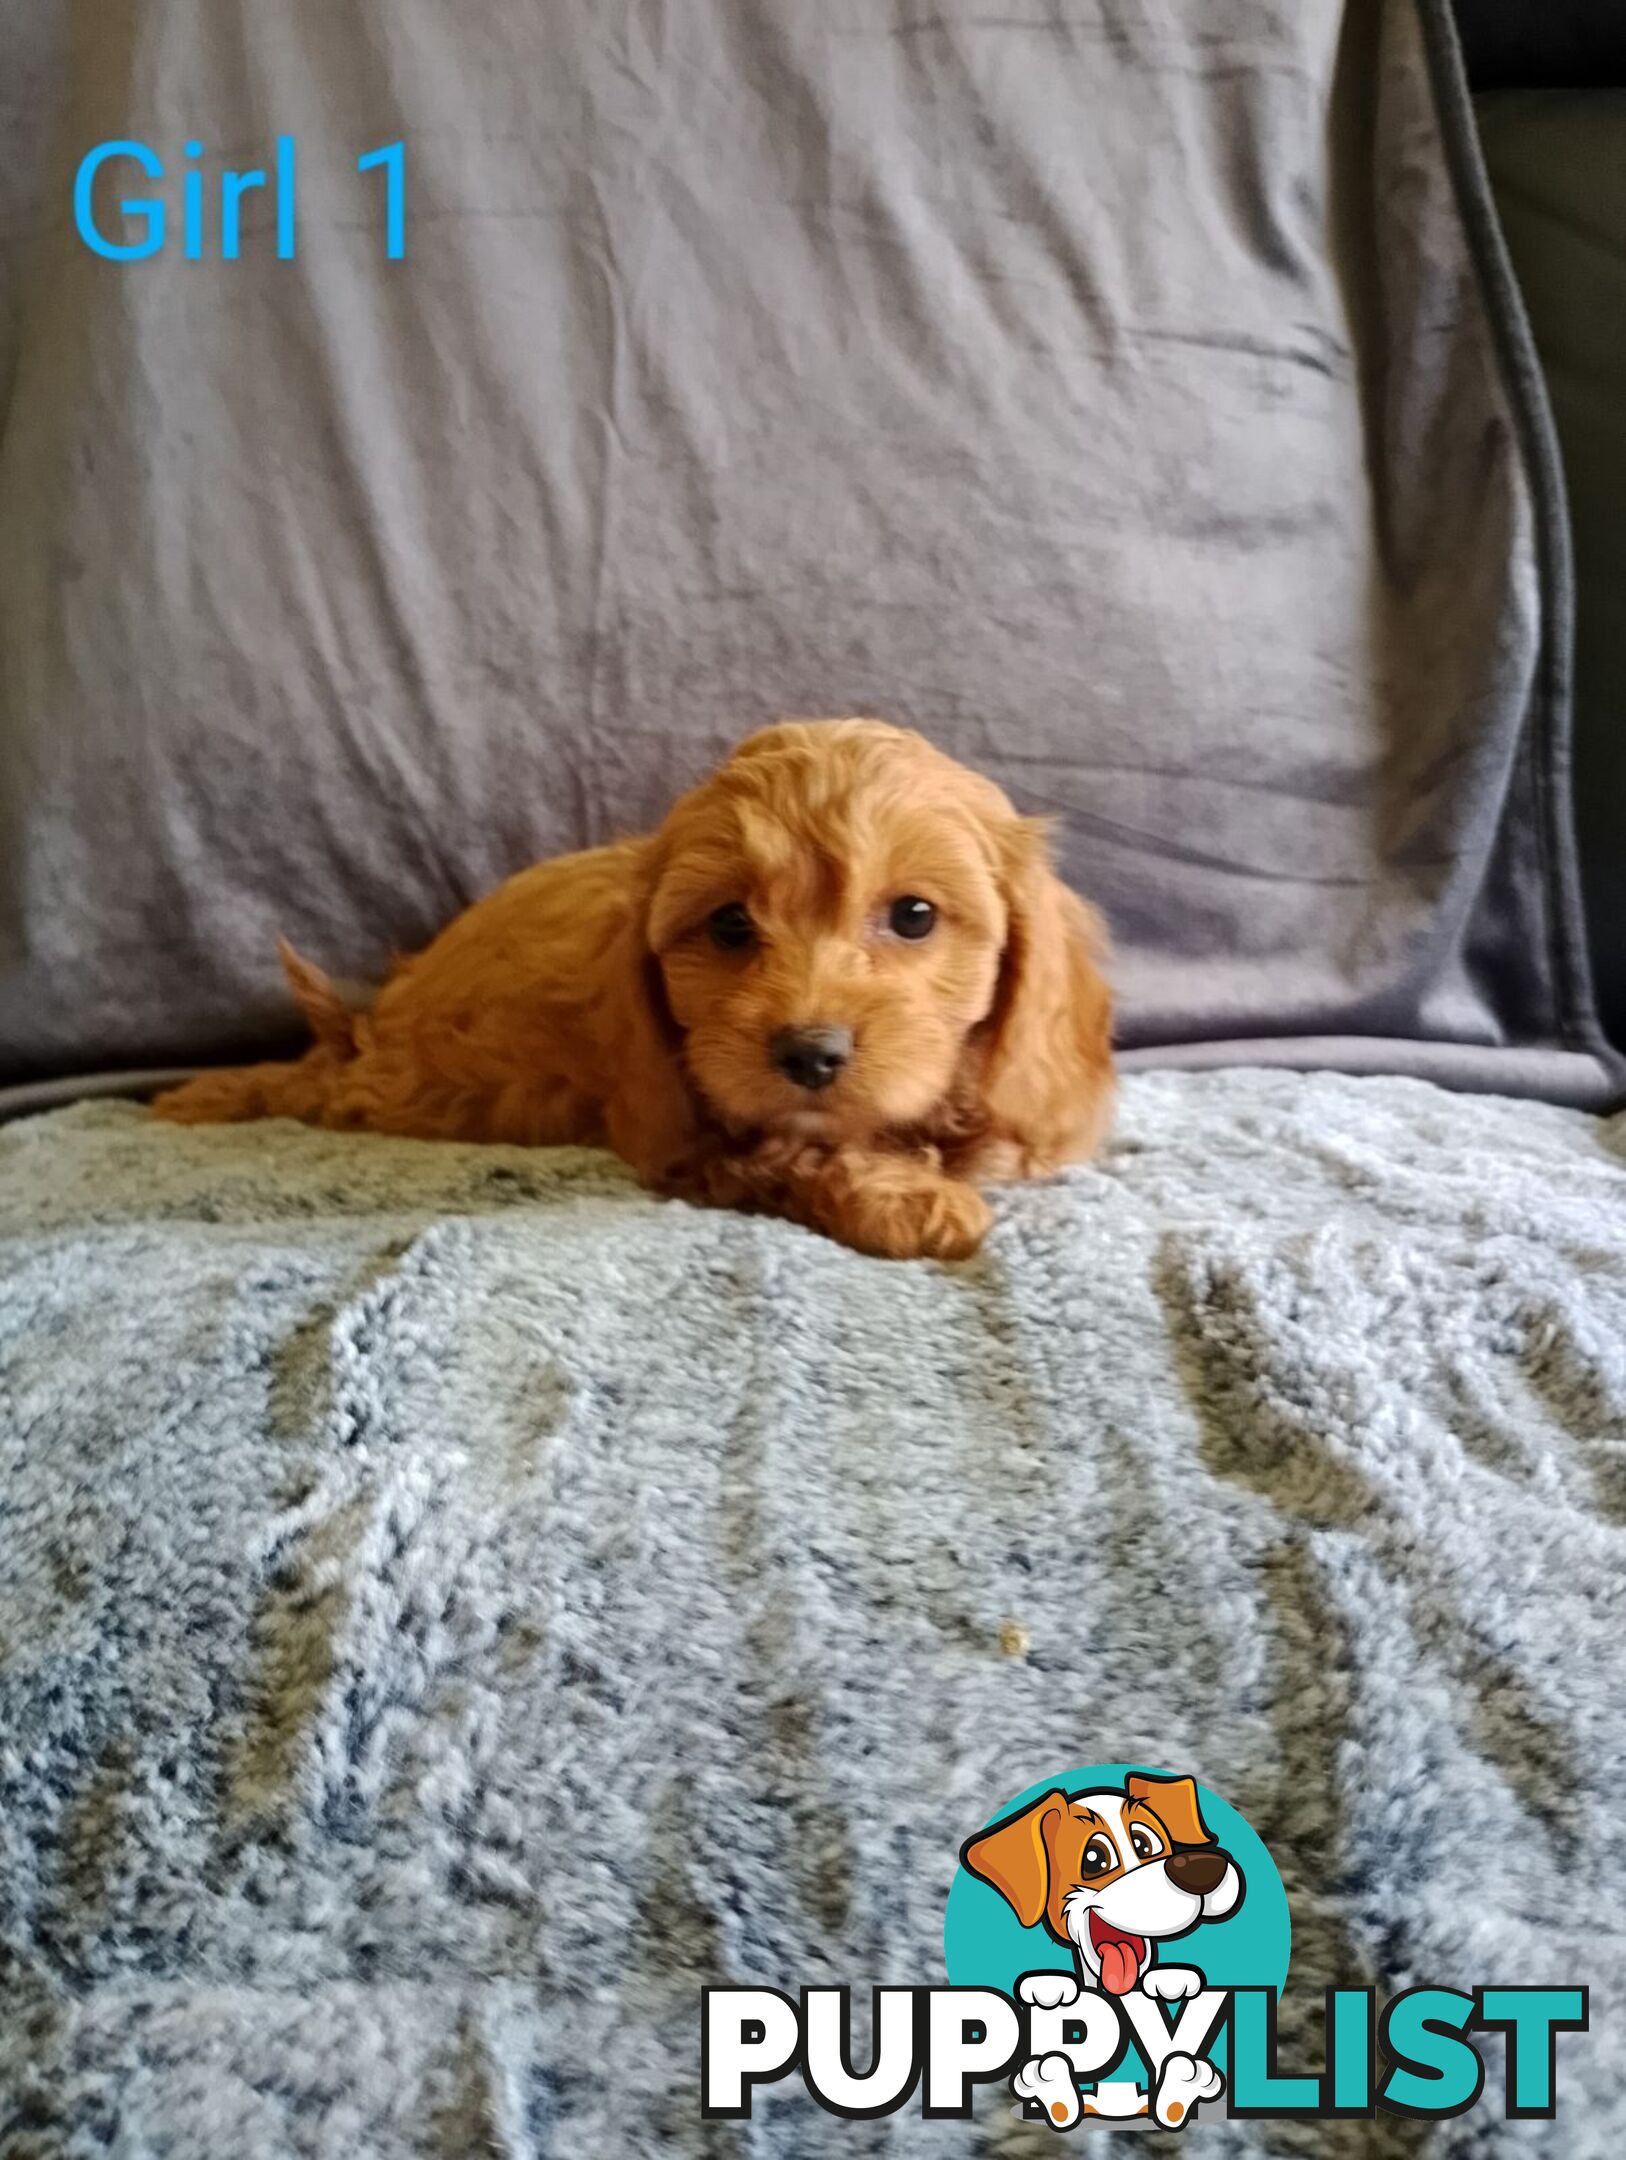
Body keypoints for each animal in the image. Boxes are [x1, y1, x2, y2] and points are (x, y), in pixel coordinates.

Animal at [152, 717, 1114, 1261]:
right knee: (316, 1083)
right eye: (729, 925)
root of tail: (376, 1018)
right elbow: (788, 1147)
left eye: (914, 915)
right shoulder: (687, 1124)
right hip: (397, 1089)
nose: (809, 1054)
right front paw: (906, 1196)